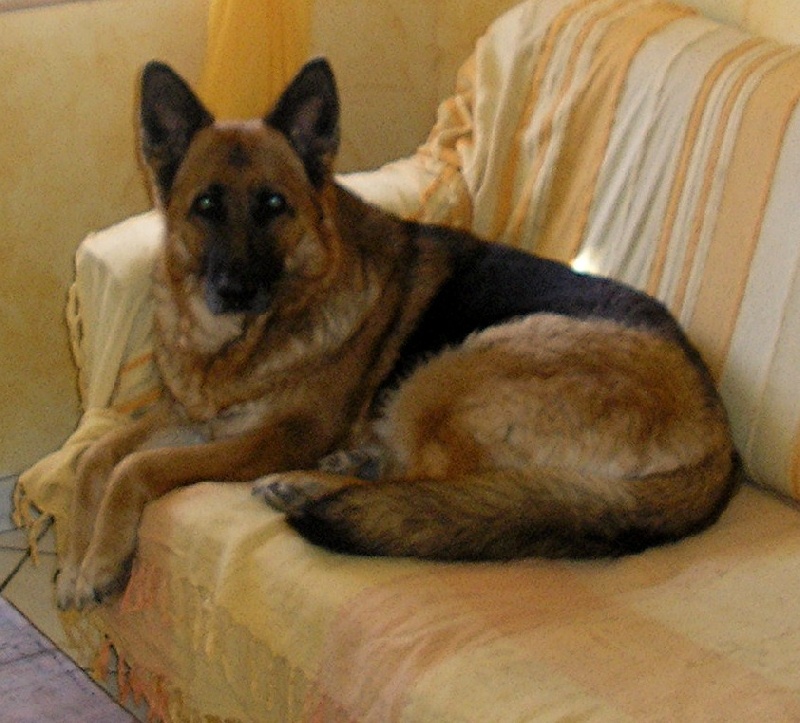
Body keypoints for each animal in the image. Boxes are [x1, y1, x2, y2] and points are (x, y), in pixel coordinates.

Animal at [56, 58, 736, 610]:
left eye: (274, 205)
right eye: (205, 206)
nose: (234, 290)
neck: (237, 345)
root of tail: (720, 439)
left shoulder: (278, 435)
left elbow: (136, 467)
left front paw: (101, 560)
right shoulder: (190, 413)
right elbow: (92, 459)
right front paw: (71, 559)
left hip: (458, 368)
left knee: (441, 488)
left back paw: (306, 486)